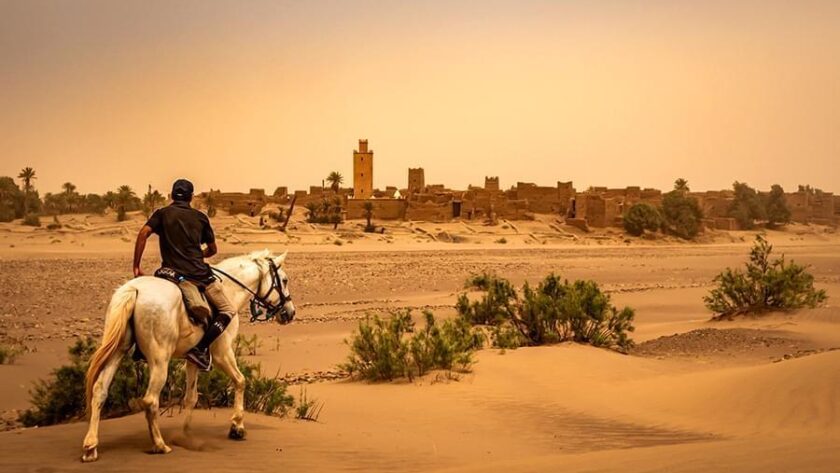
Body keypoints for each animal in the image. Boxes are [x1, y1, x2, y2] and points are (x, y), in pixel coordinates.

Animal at [79, 249, 296, 462]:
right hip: (160, 360)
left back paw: (90, 447)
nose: (290, 312)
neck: (229, 289)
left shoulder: (193, 359)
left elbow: (191, 397)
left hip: (118, 351)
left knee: (99, 390)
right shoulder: (222, 352)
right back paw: (160, 445)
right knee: (150, 400)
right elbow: (240, 381)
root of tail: (135, 290)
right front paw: (237, 427)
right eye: (284, 280)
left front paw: (186, 434)